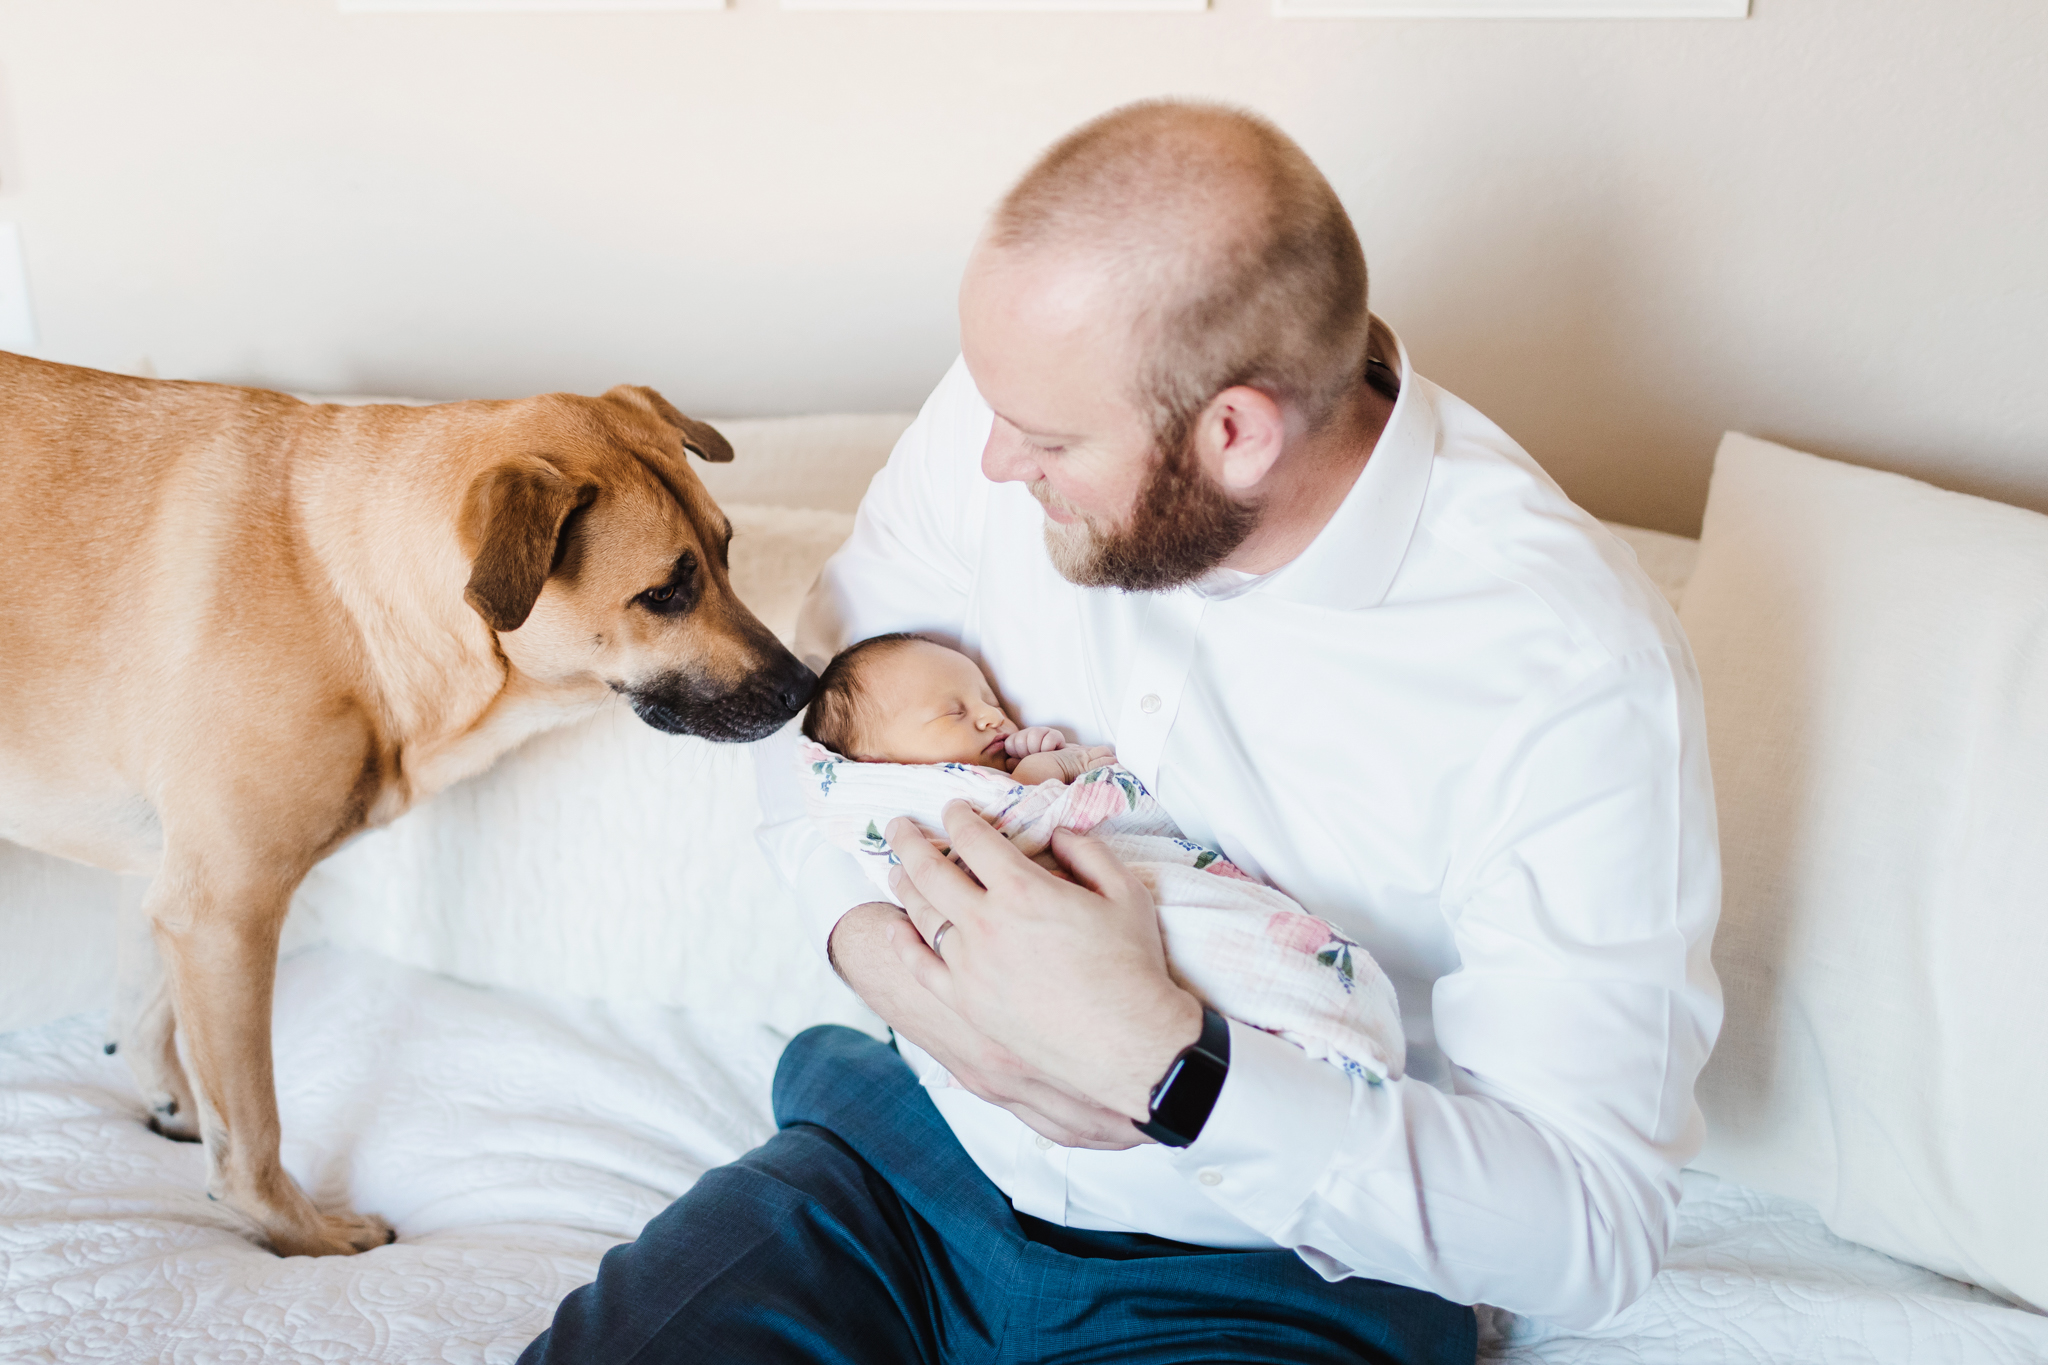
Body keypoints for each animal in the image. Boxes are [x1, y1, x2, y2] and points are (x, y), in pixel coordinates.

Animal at [0, 351, 815, 1260]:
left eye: (727, 550)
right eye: (665, 593)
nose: (808, 688)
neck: (339, 582)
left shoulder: (174, 889)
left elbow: (147, 1013)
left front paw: (173, 1105)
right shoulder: (225, 912)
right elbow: (252, 1129)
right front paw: (300, 1232)